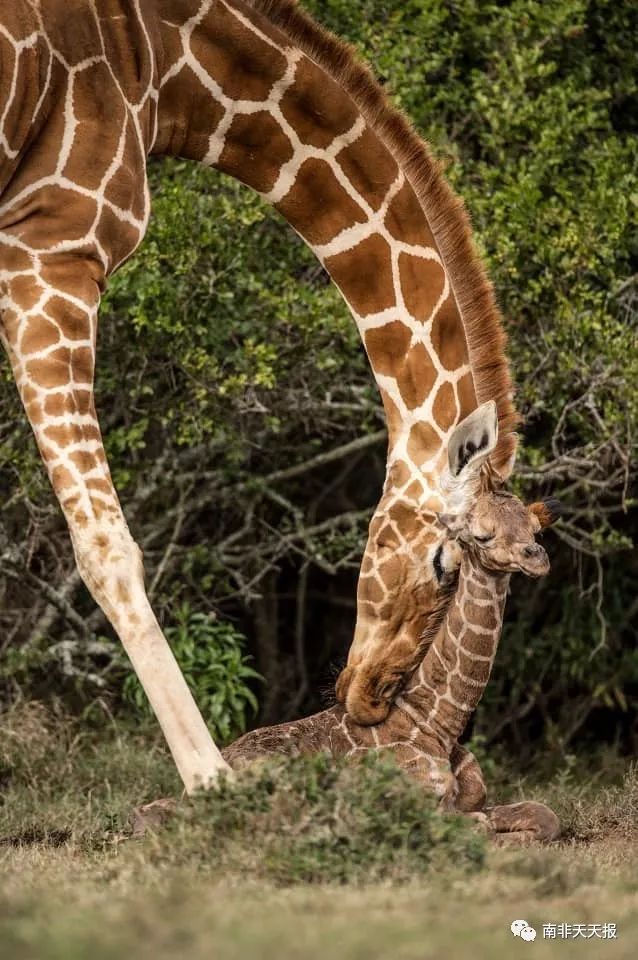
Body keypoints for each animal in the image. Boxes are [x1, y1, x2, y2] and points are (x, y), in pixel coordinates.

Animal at [1, 0, 524, 792]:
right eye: (446, 560)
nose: (369, 699)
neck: (157, 64)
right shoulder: (49, 252)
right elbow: (107, 544)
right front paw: (210, 780)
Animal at [222, 488, 564, 840]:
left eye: (535, 530)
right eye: (483, 535)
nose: (535, 558)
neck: (436, 723)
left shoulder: (475, 800)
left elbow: (545, 815)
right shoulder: (423, 805)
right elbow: (480, 828)